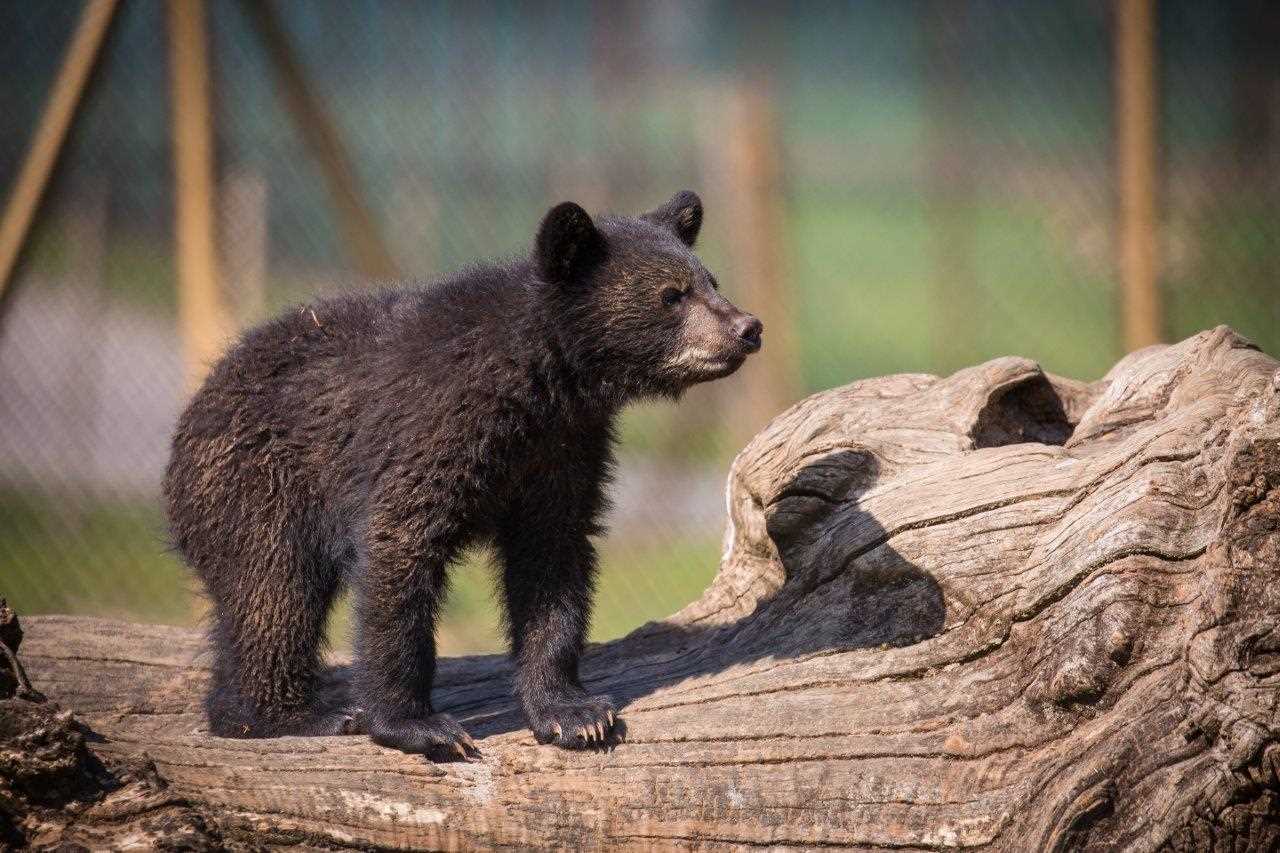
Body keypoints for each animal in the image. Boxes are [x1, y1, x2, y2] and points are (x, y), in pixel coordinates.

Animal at [163, 191, 762, 759]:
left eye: (711, 280)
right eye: (672, 294)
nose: (747, 328)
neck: (540, 382)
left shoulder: (564, 451)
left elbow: (554, 560)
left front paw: (574, 712)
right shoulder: (433, 427)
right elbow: (399, 544)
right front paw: (419, 725)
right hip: (257, 485)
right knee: (273, 592)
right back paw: (290, 715)